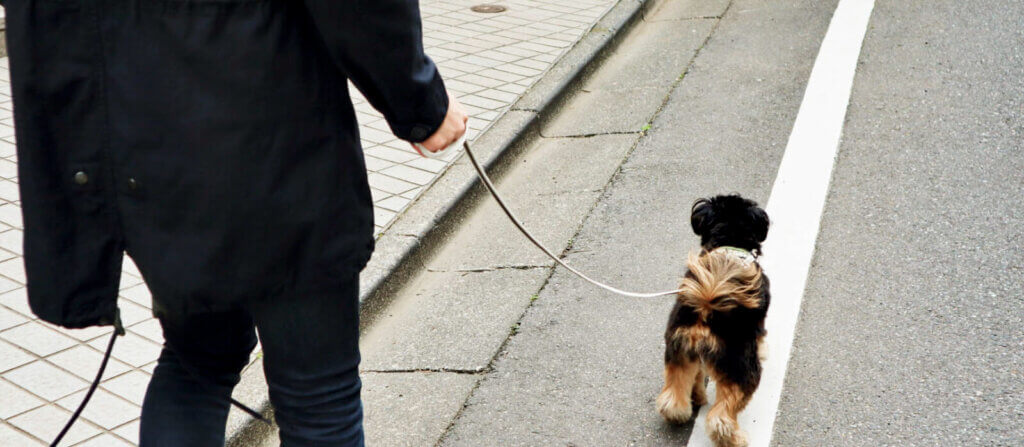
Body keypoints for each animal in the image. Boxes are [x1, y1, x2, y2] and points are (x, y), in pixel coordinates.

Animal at [655, 193, 770, 445]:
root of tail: (706, 313)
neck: (729, 243)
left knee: (673, 397)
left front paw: (697, 395)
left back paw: (683, 409)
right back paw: (733, 438)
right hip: (741, 366)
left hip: (679, 352)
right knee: (722, 416)